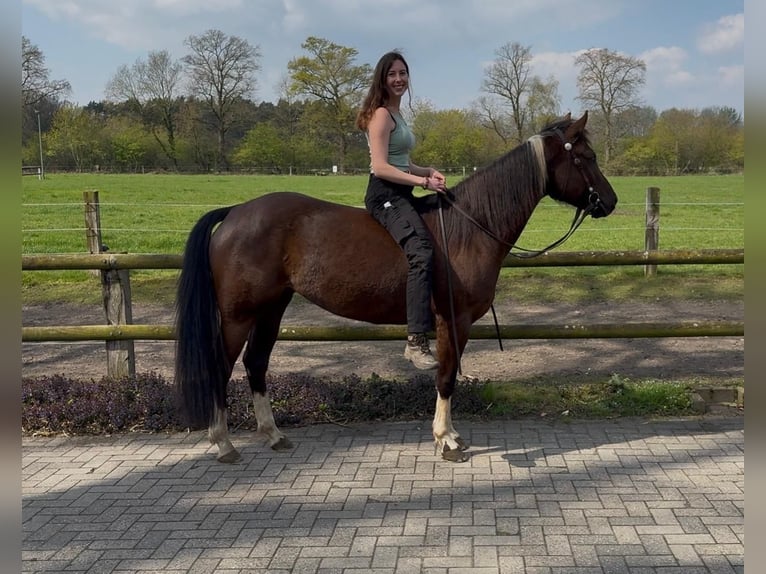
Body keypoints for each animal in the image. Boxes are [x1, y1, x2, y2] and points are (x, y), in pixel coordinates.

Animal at [175, 111, 617, 464]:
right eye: (586, 157)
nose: (610, 201)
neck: (469, 228)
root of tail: (236, 212)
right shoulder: (453, 321)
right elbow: (446, 377)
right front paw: (446, 440)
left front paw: (450, 435)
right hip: (238, 315)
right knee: (222, 367)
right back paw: (224, 443)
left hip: (271, 309)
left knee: (256, 364)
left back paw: (273, 435)